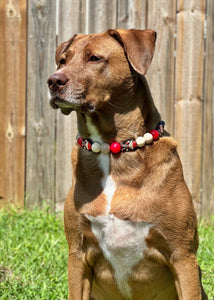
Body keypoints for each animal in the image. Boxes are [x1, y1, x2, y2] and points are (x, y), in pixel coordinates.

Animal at [47, 28, 208, 300]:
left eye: (95, 58)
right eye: (63, 60)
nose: (53, 81)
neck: (113, 152)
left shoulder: (182, 255)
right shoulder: (78, 254)